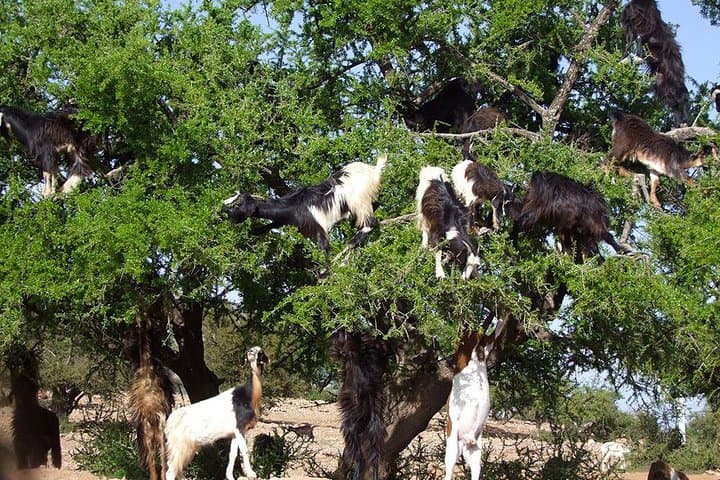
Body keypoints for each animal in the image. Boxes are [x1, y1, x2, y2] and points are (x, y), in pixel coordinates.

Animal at [164, 346, 268, 480]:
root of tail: (169, 423)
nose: (250, 353)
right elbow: (244, 451)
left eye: (260, 352)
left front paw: (230, 476)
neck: (249, 396)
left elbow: (232, 454)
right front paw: (251, 473)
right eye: (251, 350)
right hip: (179, 447)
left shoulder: (235, 432)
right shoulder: (240, 428)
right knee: (170, 471)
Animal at [222, 154, 386, 262]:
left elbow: (325, 249)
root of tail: (373, 170)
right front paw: (254, 232)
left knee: (371, 222)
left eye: (239, 205)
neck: (293, 206)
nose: (226, 212)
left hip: (358, 200)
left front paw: (324, 277)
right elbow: (272, 224)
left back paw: (351, 244)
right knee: (375, 207)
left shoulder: (318, 228)